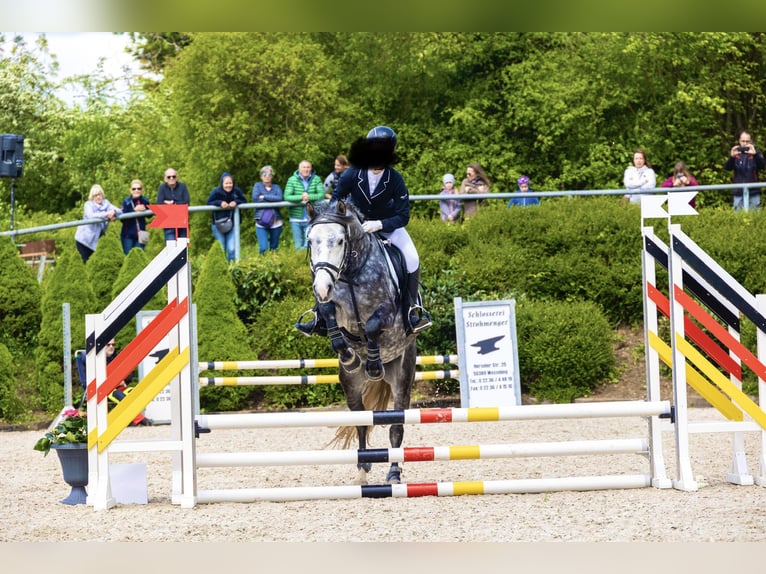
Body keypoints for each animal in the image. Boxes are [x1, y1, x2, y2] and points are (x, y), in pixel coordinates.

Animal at [306, 201, 416, 486]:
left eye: (340, 240)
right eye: (310, 241)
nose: (321, 286)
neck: (352, 272)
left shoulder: (388, 314)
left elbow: (372, 326)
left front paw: (372, 363)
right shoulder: (333, 305)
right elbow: (329, 314)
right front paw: (348, 354)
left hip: (402, 376)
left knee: (396, 425)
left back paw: (393, 473)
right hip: (351, 385)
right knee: (361, 422)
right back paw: (362, 470)